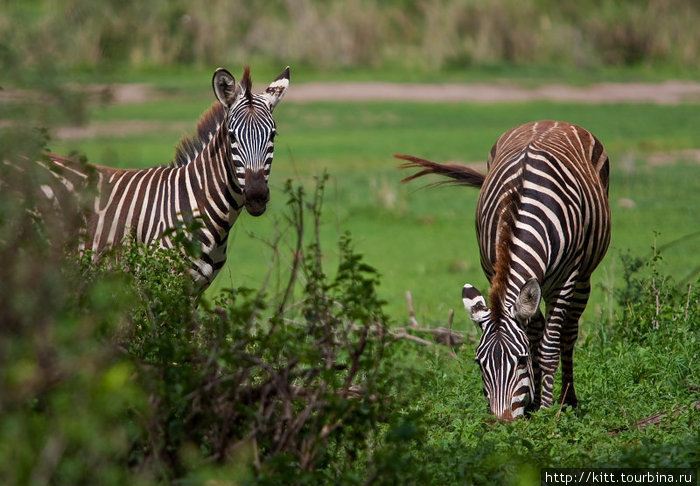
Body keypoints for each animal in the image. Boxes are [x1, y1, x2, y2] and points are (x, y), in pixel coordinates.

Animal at [400, 119, 612, 420]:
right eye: (479, 363)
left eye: (520, 361)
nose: (502, 422)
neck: (519, 212)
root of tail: (550, 121)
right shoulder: (493, 271)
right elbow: (533, 337)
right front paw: (533, 404)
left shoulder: (566, 279)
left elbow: (548, 347)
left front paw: (546, 412)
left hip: (583, 276)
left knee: (568, 333)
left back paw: (568, 400)